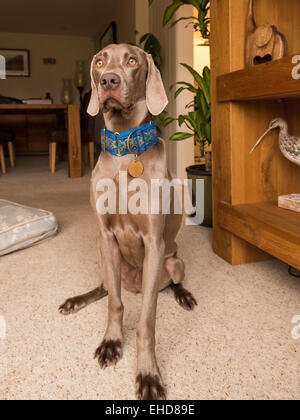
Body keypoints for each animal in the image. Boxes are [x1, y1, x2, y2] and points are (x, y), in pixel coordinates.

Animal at [59, 43, 198, 400]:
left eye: (133, 60)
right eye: (99, 62)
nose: (108, 80)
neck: (125, 149)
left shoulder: (154, 242)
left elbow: (146, 321)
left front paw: (148, 374)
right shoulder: (105, 236)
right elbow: (115, 304)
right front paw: (111, 342)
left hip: (172, 261)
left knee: (173, 280)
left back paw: (184, 295)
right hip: (106, 260)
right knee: (107, 289)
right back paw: (75, 301)